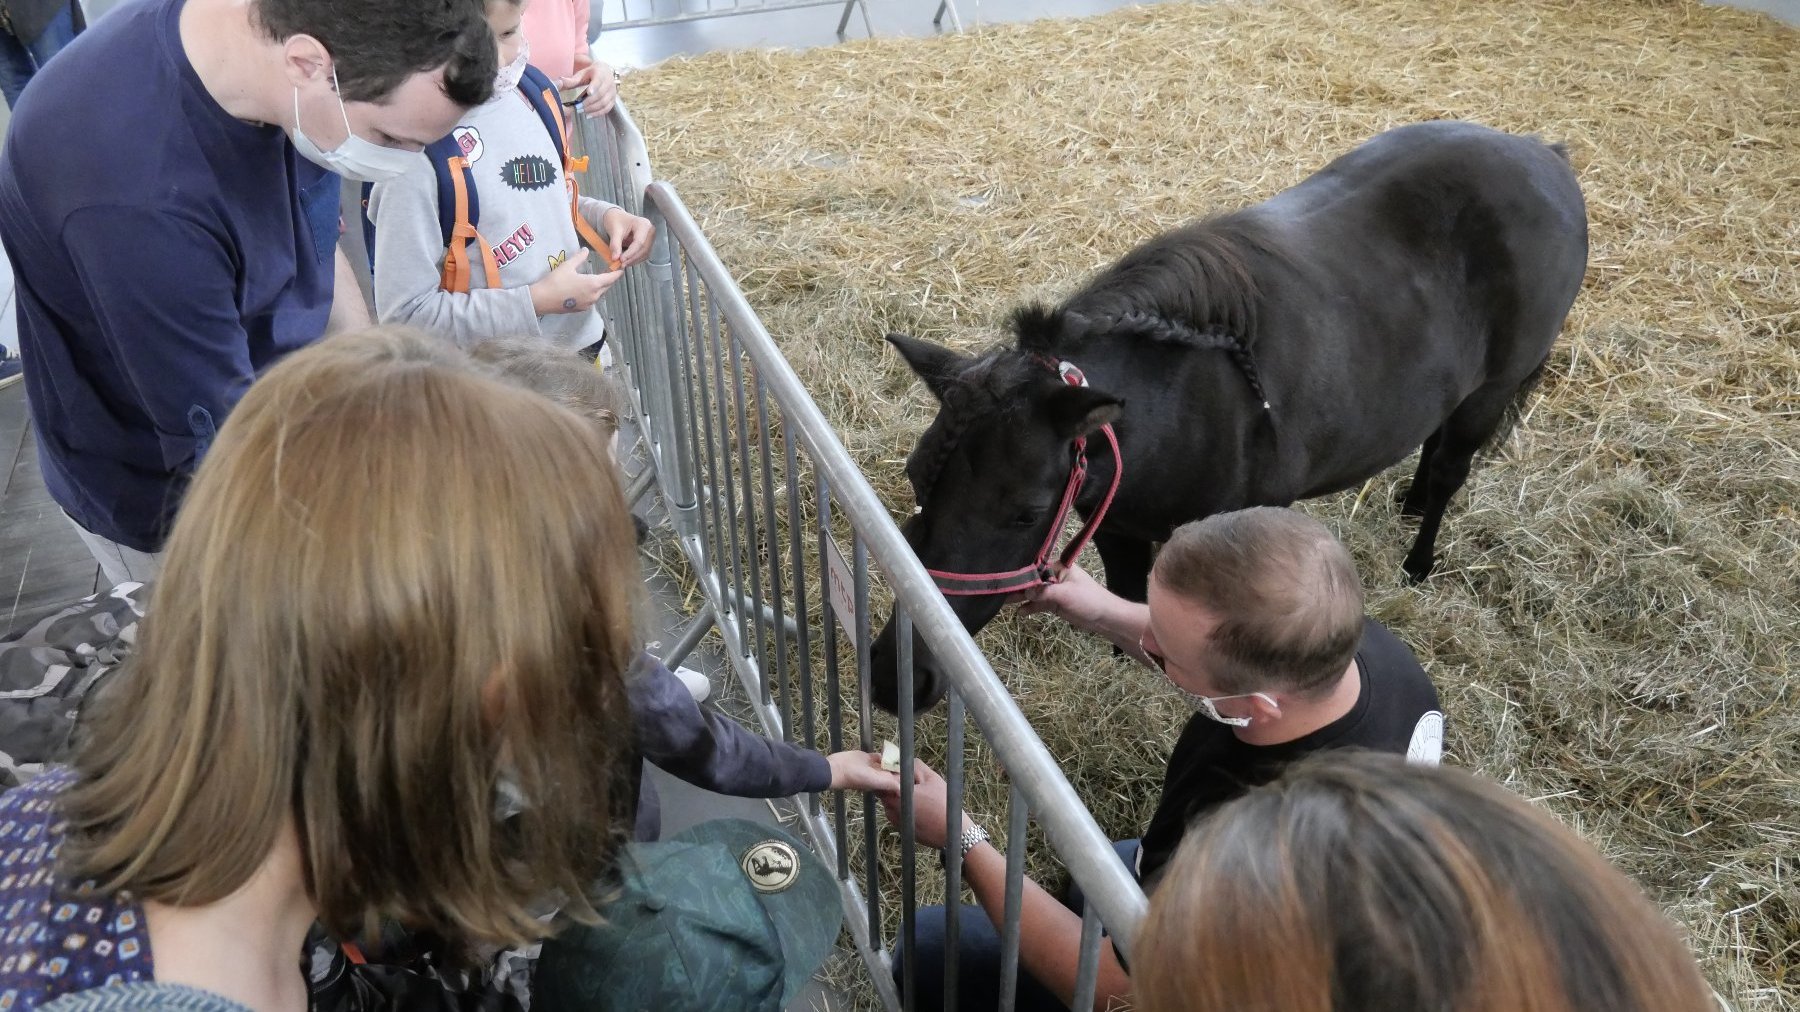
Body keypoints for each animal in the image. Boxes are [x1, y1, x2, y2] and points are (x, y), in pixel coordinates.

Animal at [871, 122, 1591, 709]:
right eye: (915, 478)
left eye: (1025, 512)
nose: (893, 677)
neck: (1188, 403)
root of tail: (1543, 155)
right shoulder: (1118, 525)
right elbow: (1130, 599)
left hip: (1492, 391)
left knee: (1449, 467)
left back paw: (1419, 557)